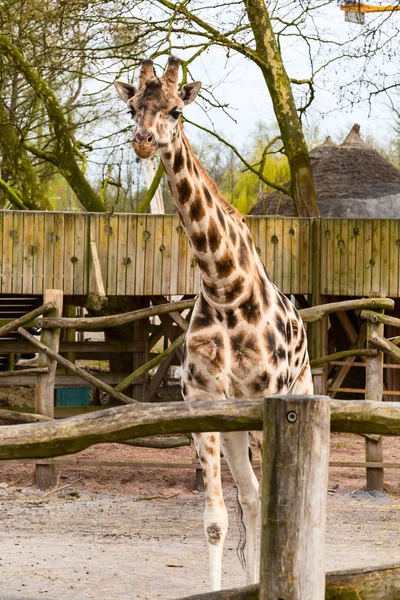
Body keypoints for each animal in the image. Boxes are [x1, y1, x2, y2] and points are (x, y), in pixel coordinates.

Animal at [114, 56, 314, 592]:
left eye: (177, 110)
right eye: (133, 107)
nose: (143, 141)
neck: (226, 286)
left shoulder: (269, 402)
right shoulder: (203, 402)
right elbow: (216, 519)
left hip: (300, 393)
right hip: (234, 425)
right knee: (249, 496)